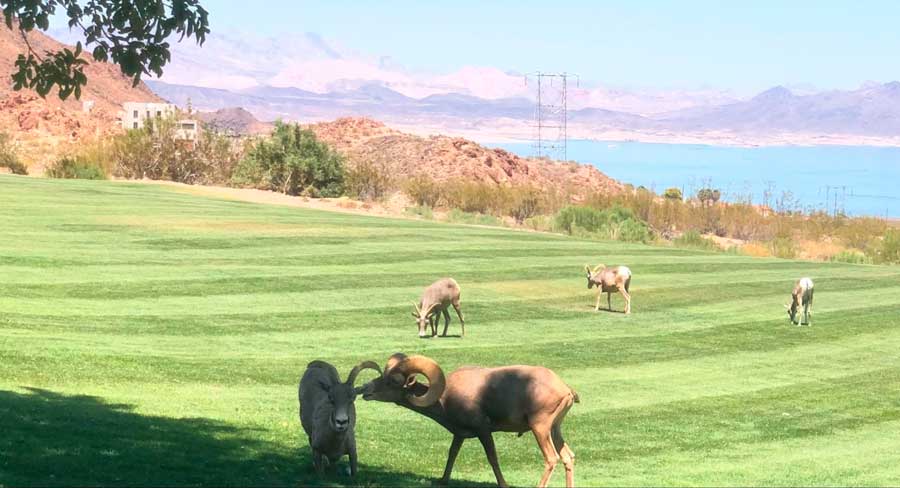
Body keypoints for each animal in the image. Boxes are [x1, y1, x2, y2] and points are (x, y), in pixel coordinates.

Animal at [359, 353, 579, 488]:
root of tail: (565, 390)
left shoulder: (483, 430)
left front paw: (503, 484)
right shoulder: (460, 434)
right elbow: (452, 454)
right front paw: (443, 480)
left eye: (394, 381)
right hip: (554, 430)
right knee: (568, 456)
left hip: (540, 428)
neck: (444, 399)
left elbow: (492, 458)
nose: (365, 390)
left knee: (552, 458)